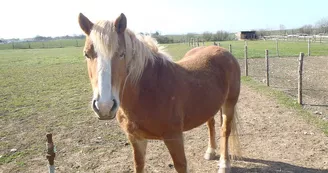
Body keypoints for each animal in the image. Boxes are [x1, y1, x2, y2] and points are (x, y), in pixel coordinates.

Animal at [77, 12, 241, 173]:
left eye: (122, 54)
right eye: (87, 54)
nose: (104, 106)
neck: (148, 90)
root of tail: (224, 51)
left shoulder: (174, 138)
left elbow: (181, 165)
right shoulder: (136, 139)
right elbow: (139, 165)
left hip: (229, 103)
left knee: (225, 130)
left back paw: (224, 164)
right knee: (211, 124)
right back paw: (210, 152)